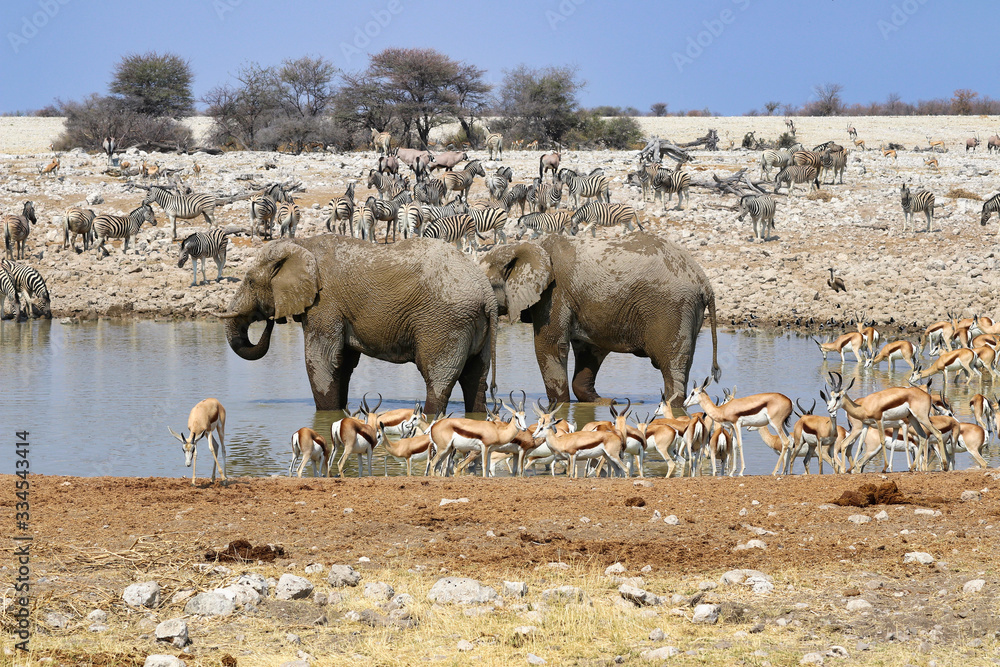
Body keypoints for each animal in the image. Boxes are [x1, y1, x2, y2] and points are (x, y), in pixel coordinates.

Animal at [220, 236, 498, 414]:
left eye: (250, 281)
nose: (271, 320)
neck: (301, 244)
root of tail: (488, 294)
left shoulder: (325, 303)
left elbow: (321, 359)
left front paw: (327, 416)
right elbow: (342, 362)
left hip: (445, 322)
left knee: (438, 379)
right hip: (473, 325)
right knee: (476, 378)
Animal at [479, 232, 719, 415]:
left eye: (488, 284)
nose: (494, 391)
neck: (527, 246)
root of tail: (705, 282)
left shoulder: (555, 293)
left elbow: (551, 346)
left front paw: (559, 407)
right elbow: (589, 350)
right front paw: (605, 402)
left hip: (673, 308)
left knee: (671, 365)